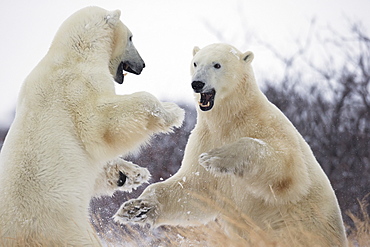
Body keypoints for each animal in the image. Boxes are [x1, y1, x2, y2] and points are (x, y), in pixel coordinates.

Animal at [0, 6, 184, 247]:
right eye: (131, 38)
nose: (143, 65)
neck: (73, 53)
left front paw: (132, 174)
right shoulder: (78, 86)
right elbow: (101, 123)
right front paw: (172, 111)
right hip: (60, 226)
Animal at [115, 43, 346, 246]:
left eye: (217, 65)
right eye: (196, 63)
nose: (197, 83)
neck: (230, 118)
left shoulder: (268, 125)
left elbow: (288, 168)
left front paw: (216, 157)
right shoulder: (204, 136)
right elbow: (195, 187)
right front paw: (135, 207)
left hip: (299, 226)